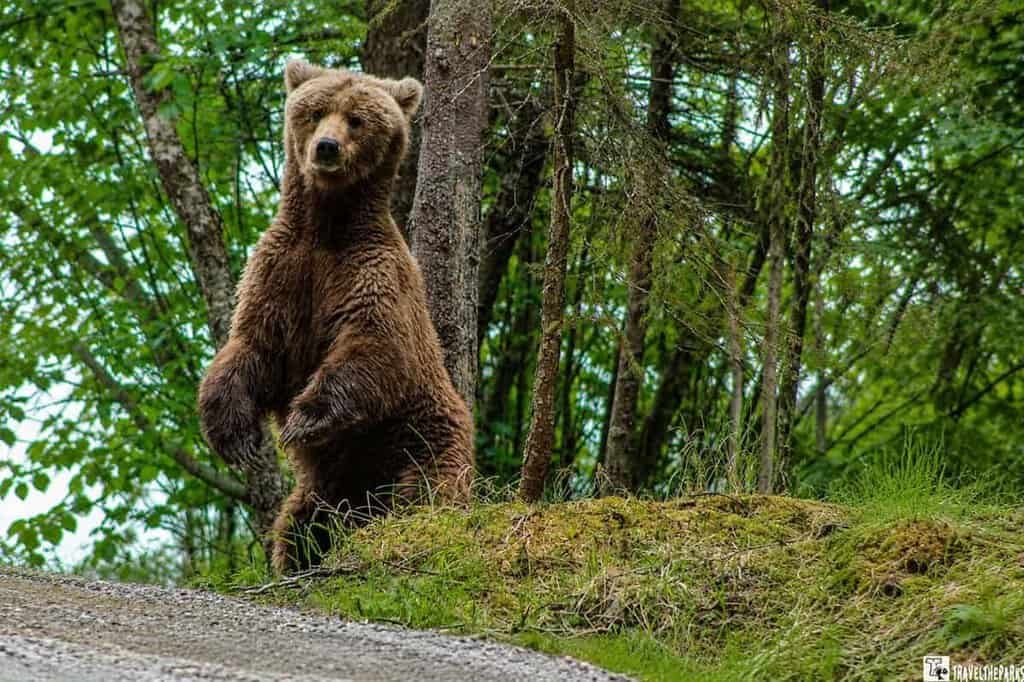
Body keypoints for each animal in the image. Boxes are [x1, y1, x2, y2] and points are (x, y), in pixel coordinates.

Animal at [197, 59, 475, 574]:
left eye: (357, 120)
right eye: (315, 111)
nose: (326, 147)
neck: (326, 227)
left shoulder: (373, 275)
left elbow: (374, 348)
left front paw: (303, 419)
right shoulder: (281, 274)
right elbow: (252, 347)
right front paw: (235, 435)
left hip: (420, 438)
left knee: (425, 492)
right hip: (326, 487)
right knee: (301, 525)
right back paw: (301, 559)